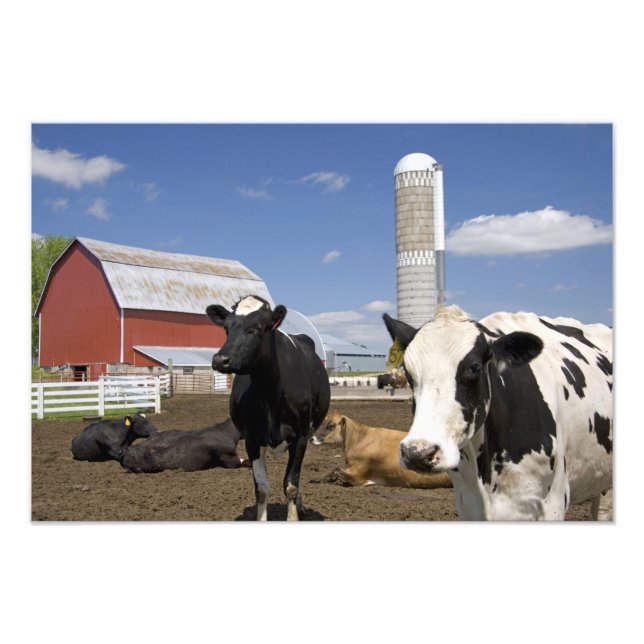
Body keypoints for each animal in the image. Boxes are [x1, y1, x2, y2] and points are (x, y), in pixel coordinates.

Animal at [207, 295, 331, 521]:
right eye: (227, 328)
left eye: (257, 328)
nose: (220, 360)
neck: (270, 394)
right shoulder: (252, 439)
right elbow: (262, 488)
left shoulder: (300, 436)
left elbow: (291, 484)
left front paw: (293, 516)